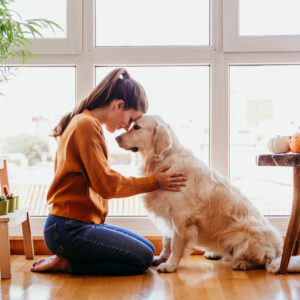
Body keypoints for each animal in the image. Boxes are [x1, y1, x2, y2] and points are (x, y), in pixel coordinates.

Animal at [115, 115, 300, 274]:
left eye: (137, 127)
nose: (116, 138)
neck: (163, 159)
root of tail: (279, 250)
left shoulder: (181, 217)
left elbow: (175, 244)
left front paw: (170, 265)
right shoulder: (168, 215)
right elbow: (166, 242)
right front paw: (161, 258)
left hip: (245, 233)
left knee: (264, 260)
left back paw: (242, 263)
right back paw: (215, 253)